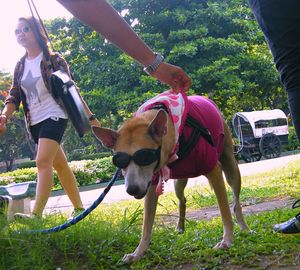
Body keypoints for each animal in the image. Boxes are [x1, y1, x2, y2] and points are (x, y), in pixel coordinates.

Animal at [92, 90, 250, 264]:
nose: (132, 189)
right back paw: (180, 226)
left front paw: (226, 240)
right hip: (178, 183)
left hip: (230, 165)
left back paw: (244, 228)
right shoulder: (152, 184)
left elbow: (224, 211)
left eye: (145, 156)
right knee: (182, 200)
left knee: (235, 201)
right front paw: (138, 253)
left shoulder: (214, 171)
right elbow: (146, 225)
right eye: (119, 160)